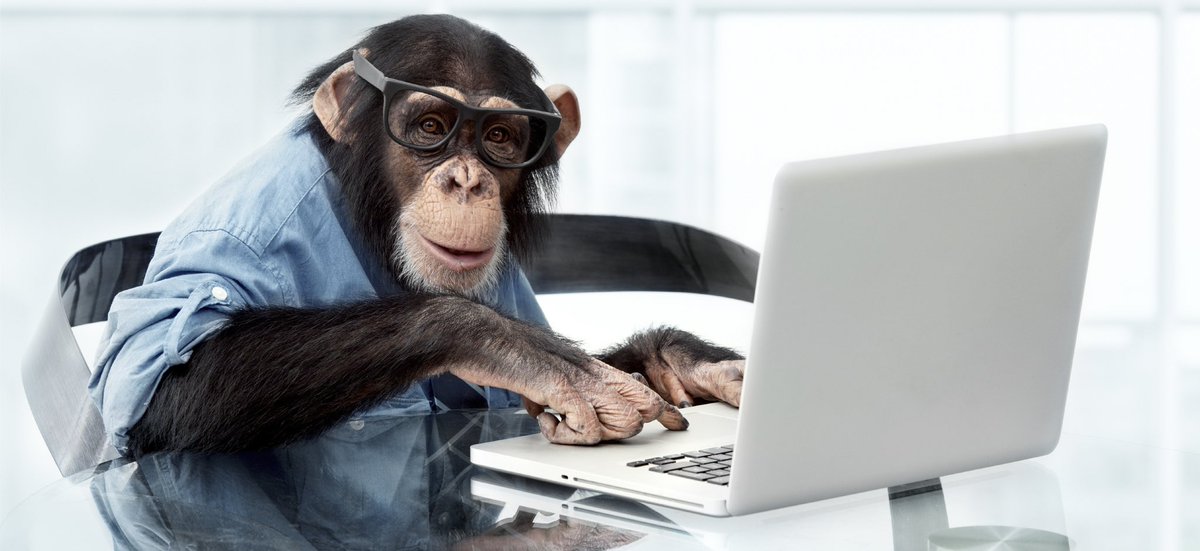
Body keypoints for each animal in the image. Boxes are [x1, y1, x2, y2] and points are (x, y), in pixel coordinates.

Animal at [89, 15, 746, 458]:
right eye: (431, 127)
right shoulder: (245, 228)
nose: (467, 180)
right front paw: (520, 350)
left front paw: (681, 361)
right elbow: (162, 379)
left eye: (501, 137)